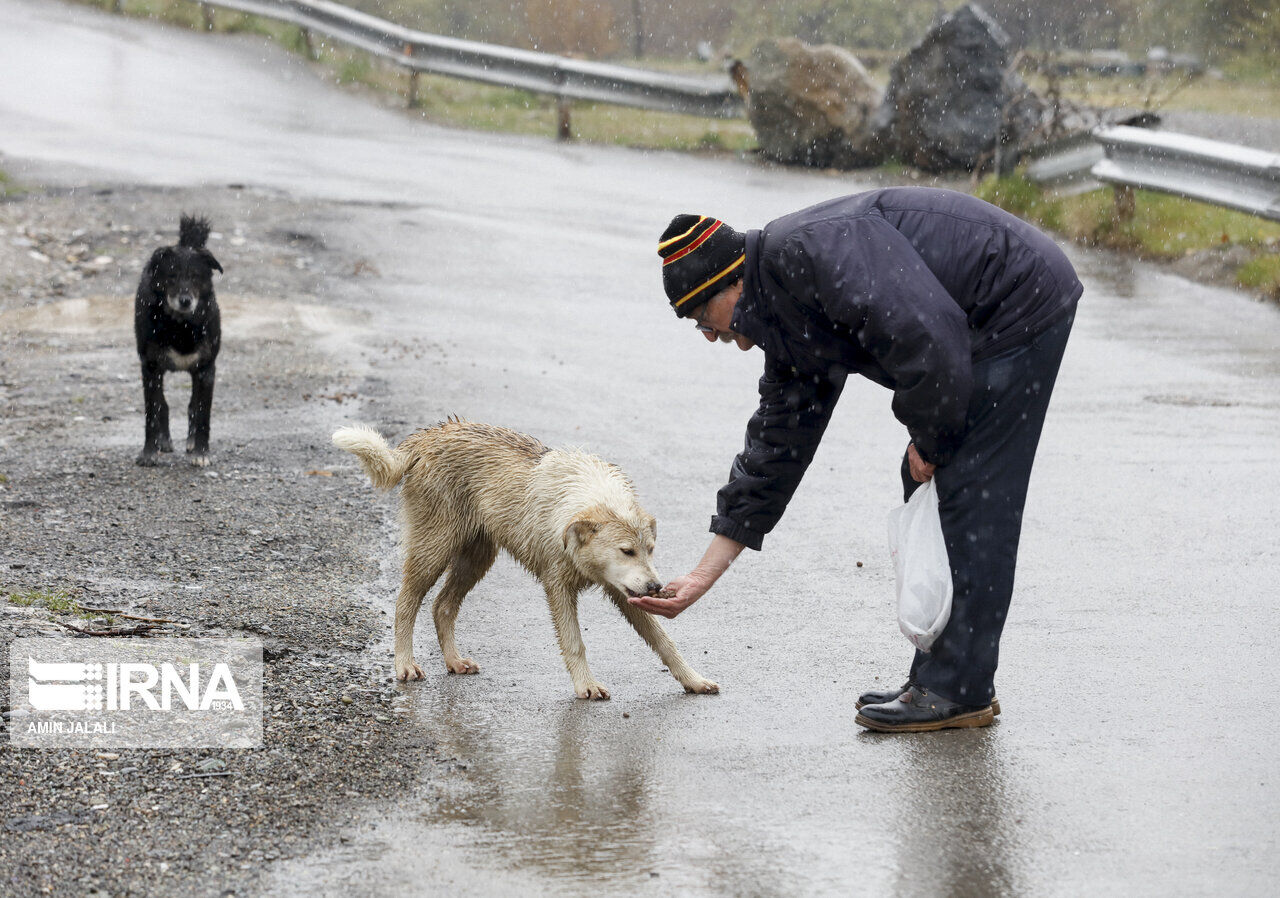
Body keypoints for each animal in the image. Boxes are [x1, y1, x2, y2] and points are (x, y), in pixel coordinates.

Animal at [134, 214, 222, 468]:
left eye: (195, 277)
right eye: (171, 276)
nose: (185, 300)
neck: (181, 327)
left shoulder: (206, 369)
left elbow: (202, 413)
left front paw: (201, 452)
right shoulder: (150, 368)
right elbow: (153, 412)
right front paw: (149, 453)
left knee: (193, 406)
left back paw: (191, 443)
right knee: (163, 405)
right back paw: (163, 441)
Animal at [330, 419, 721, 701]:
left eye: (650, 549)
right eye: (627, 550)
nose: (656, 587)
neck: (585, 498)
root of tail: (430, 435)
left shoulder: (622, 590)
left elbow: (664, 642)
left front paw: (693, 680)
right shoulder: (558, 586)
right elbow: (575, 643)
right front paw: (586, 686)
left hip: (477, 558)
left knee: (443, 606)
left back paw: (454, 661)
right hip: (434, 548)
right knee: (406, 602)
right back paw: (405, 664)